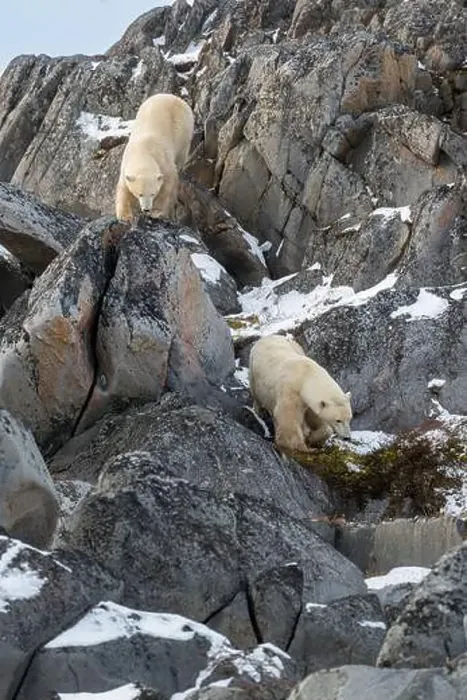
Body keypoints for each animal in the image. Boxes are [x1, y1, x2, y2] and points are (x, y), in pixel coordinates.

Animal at [115, 93, 195, 221]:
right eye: (140, 194)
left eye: (153, 193)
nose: (146, 209)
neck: (143, 152)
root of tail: (175, 97)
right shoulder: (126, 165)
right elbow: (124, 189)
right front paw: (125, 216)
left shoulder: (164, 162)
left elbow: (168, 185)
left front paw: (158, 212)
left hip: (183, 127)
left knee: (181, 154)